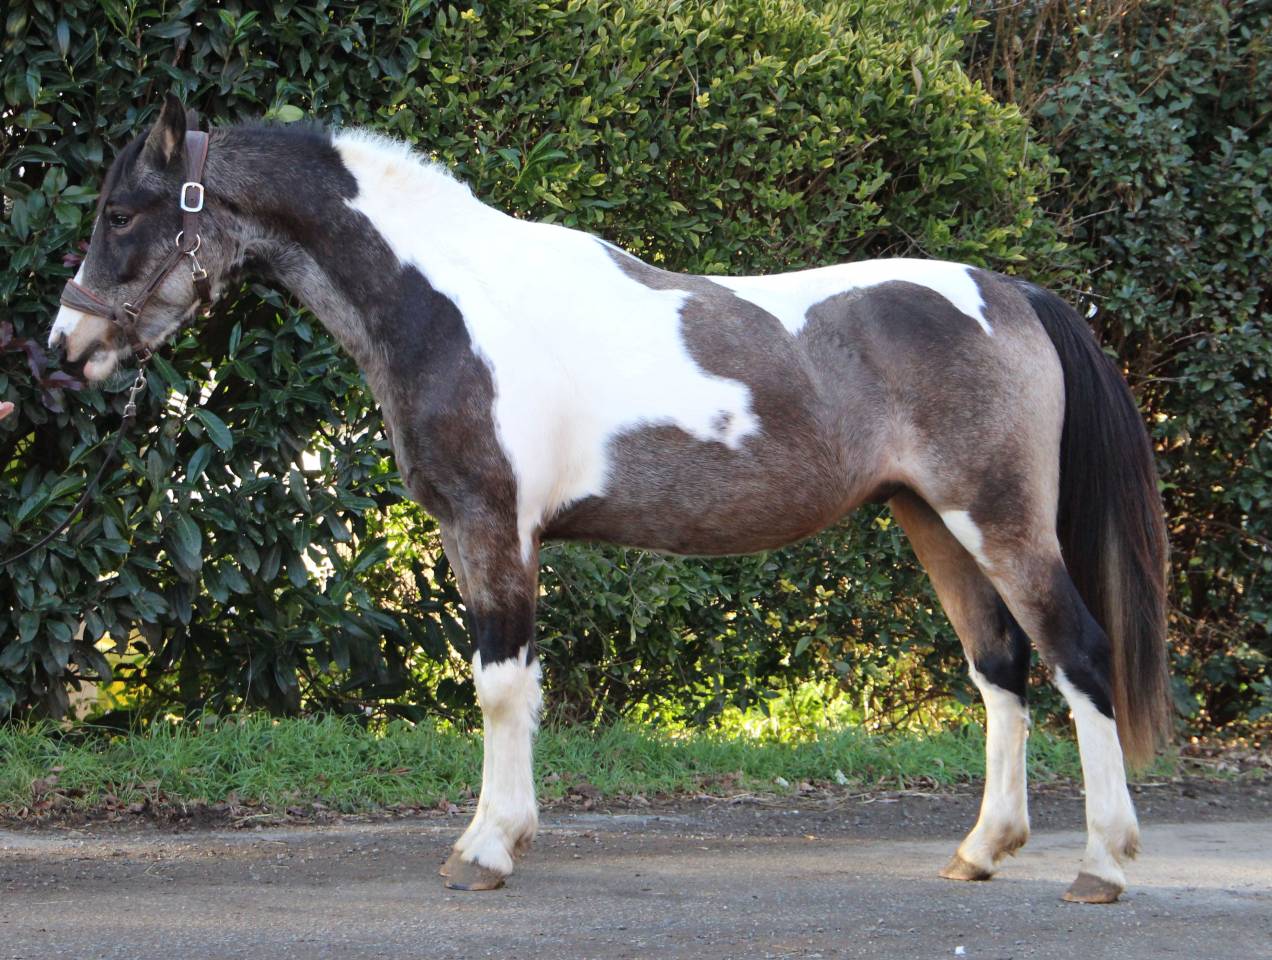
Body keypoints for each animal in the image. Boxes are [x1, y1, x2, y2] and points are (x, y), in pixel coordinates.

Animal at [49, 95, 1171, 901]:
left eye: (118, 213)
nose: (64, 347)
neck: (454, 301)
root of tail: (1012, 292)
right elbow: (517, 686)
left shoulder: (490, 525)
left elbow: (499, 686)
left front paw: (485, 850)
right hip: (932, 521)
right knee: (1000, 669)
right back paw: (982, 851)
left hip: (1002, 523)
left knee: (1078, 656)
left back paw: (1101, 865)